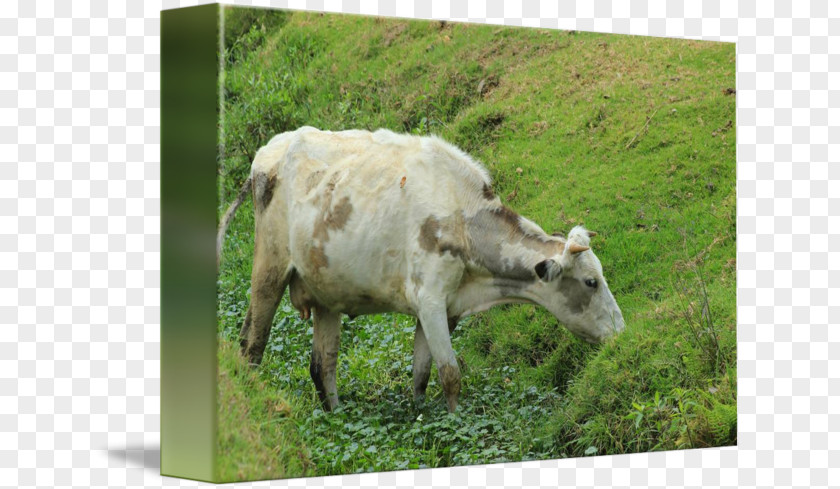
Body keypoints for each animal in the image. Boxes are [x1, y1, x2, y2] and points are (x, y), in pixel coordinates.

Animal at [217, 126, 624, 412]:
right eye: (591, 282)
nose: (620, 332)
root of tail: (270, 150)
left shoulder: (447, 306)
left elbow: (422, 373)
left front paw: (421, 416)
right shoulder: (429, 299)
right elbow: (451, 375)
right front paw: (455, 421)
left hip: (324, 292)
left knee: (323, 365)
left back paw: (336, 413)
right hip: (269, 268)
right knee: (253, 345)